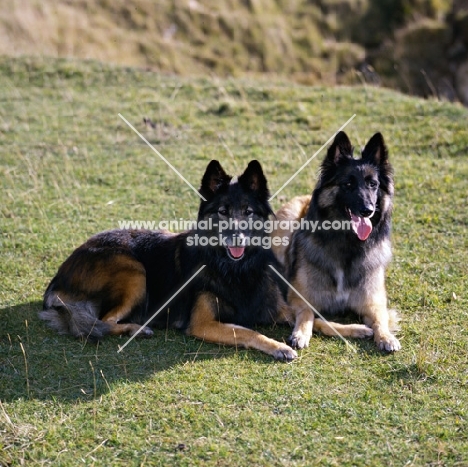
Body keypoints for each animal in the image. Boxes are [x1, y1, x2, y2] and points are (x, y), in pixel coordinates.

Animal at [40, 161, 296, 362]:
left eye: (248, 211)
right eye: (223, 212)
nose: (237, 238)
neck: (235, 269)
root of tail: (58, 277)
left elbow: (303, 314)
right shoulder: (202, 324)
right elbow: (247, 332)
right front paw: (279, 346)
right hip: (133, 270)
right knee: (102, 322)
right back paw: (137, 329)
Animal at [272, 131, 400, 352]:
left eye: (373, 184)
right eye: (348, 184)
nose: (367, 210)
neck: (348, 244)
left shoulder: (373, 301)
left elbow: (379, 318)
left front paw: (386, 337)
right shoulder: (298, 297)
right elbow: (306, 313)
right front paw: (301, 333)